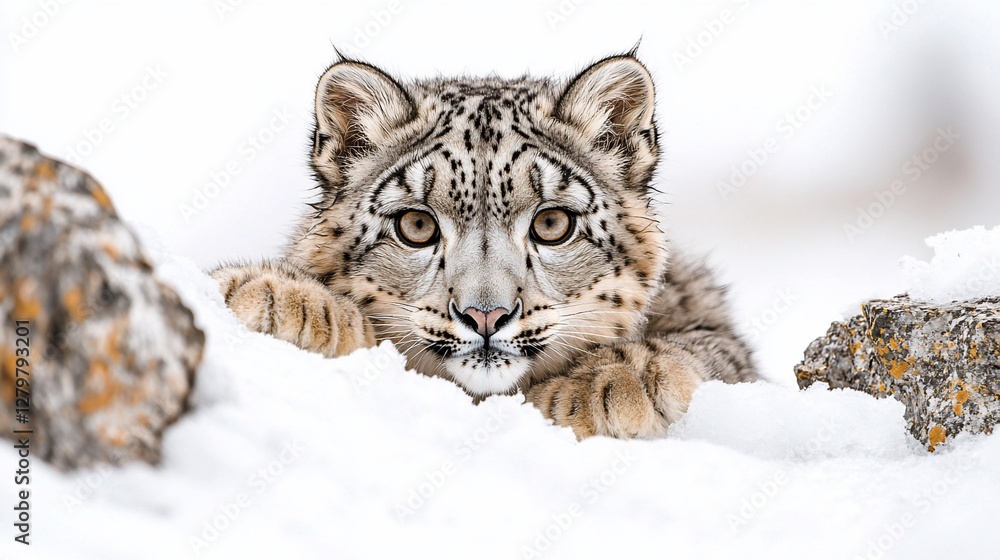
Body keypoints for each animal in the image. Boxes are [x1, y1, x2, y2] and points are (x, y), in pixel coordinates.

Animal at [210, 52, 759, 439]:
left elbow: (713, 348)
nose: (486, 316)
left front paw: (616, 382)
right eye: (416, 225)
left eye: (552, 222)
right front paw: (286, 298)